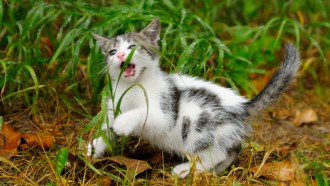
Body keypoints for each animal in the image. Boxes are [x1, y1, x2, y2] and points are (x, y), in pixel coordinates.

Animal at [87, 18, 302, 178]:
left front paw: (123, 123)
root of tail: (242, 106)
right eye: (112, 52)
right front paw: (94, 148)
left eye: (133, 46)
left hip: (196, 122)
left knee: (214, 153)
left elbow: (143, 112)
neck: (131, 87)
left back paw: (185, 170)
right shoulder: (113, 106)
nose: (121, 55)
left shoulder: (165, 115)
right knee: (232, 149)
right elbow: (106, 130)